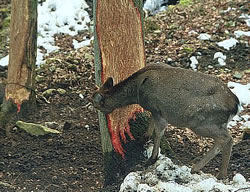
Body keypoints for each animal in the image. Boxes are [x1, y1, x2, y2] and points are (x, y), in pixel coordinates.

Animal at [93, 63, 239, 179]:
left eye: (97, 105)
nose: (102, 117)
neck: (138, 93)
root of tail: (236, 105)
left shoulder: (158, 109)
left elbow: (158, 132)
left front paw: (151, 159)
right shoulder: (155, 110)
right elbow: (151, 121)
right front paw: (143, 137)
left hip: (200, 122)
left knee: (225, 138)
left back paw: (196, 168)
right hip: (216, 123)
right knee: (229, 139)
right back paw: (221, 174)